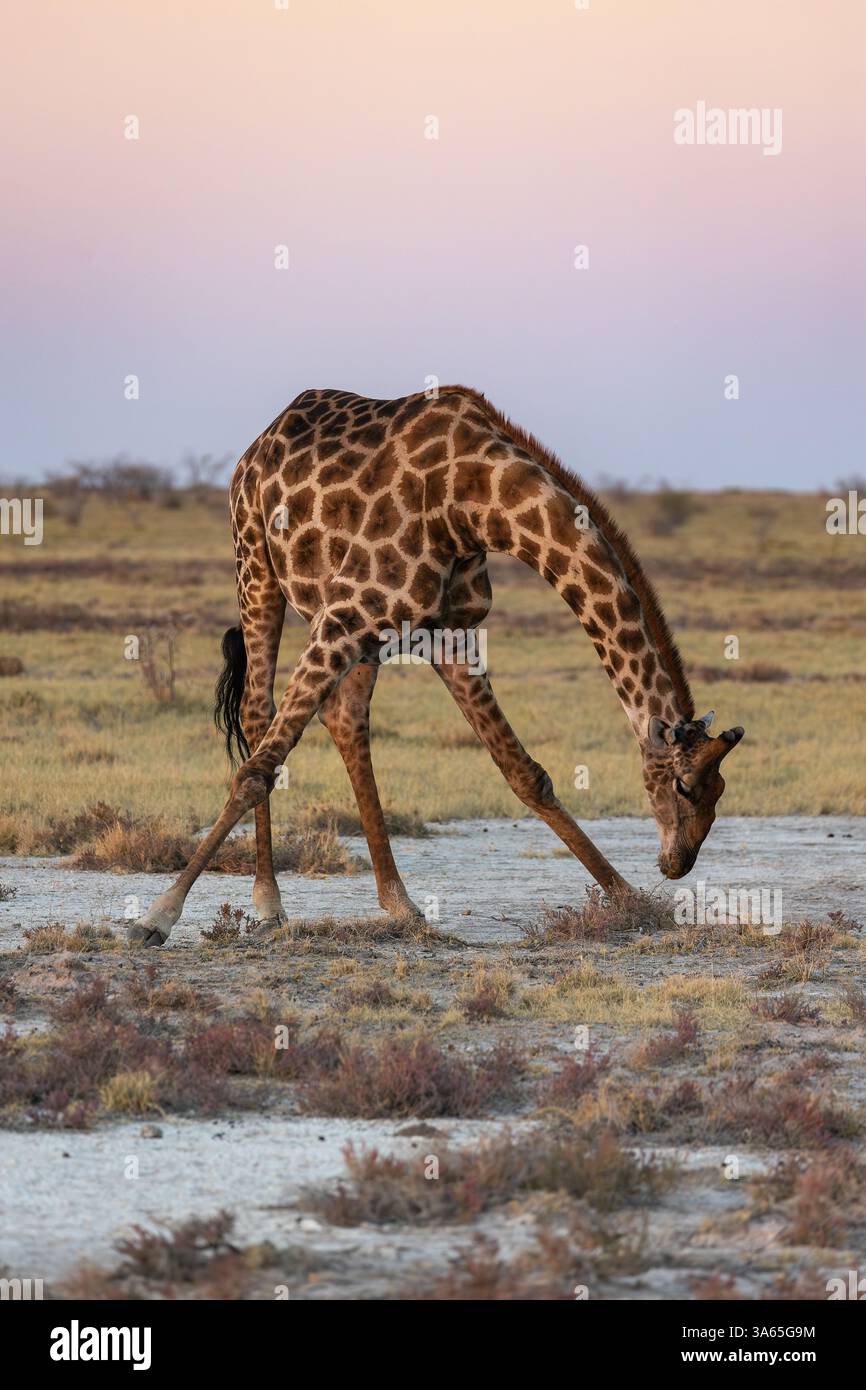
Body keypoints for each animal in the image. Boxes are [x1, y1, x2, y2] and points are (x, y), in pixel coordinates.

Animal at [129, 386, 745, 945]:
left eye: (719, 792)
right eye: (685, 786)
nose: (678, 863)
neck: (476, 502)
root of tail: (258, 444)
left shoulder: (451, 633)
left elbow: (526, 773)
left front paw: (631, 899)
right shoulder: (345, 614)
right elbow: (257, 770)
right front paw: (157, 916)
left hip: (366, 630)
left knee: (346, 719)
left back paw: (398, 903)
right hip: (257, 563)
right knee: (259, 715)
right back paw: (270, 902)